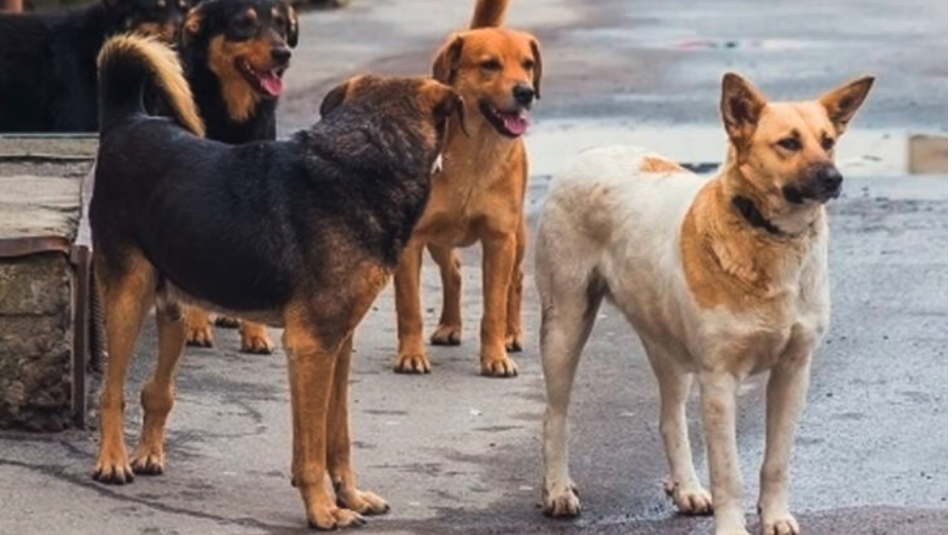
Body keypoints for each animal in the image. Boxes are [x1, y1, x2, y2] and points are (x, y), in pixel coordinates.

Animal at [175, 0, 300, 354]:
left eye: (281, 24)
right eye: (243, 23)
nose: (283, 53)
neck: (232, 116)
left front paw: (255, 333)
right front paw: (195, 326)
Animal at [390, 0, 540, 378]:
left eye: (528, 64)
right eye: (489, 65)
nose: (526, 92)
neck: (476, 150)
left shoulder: (499, 239)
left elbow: (494, 308)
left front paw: (496, 356)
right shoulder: (412, 240)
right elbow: (410, 307)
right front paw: (410, 354)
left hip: (517, 236)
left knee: (515, 281)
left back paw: (512, 334)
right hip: (438, 238)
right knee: (454, 272)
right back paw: (449, 326)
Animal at [532, 72, 872, 535]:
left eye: (828, 141)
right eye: (788, 143)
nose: (834, 178)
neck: (767, 236)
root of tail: (589, 153)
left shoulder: (793, 371)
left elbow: (776, 462)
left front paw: (775, 516)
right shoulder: (720, 380)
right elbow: (729, 471)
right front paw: (731, 527)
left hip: (666, 346)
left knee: (669, 418)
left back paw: (687, 488)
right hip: (565, 327)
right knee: (555, 415)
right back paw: (558, 490)